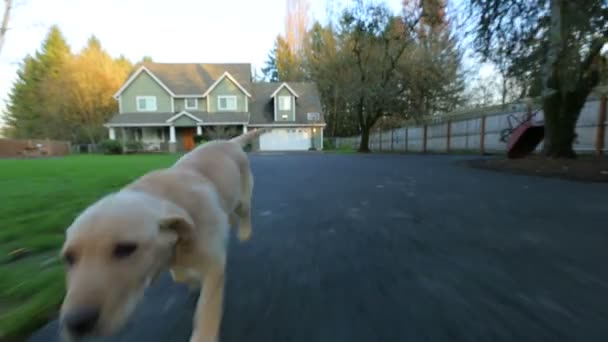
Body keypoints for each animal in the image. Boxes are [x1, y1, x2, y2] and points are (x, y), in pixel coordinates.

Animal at [58, 129, 264, 342]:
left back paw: (244, 232)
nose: (76, 322)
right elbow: (179, 275)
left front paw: (204, 335)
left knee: (244, 212)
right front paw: (192, 279)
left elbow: (207, 305)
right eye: (69, 257)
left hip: (242, 199)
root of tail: (228, 141)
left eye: (125, 249)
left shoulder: (213, 266)